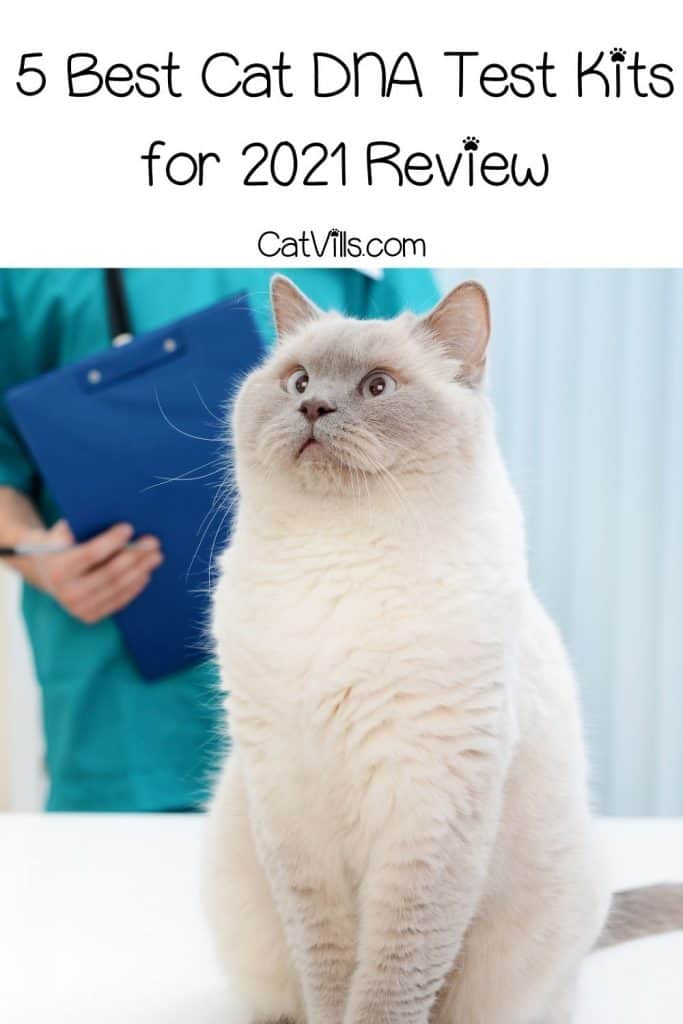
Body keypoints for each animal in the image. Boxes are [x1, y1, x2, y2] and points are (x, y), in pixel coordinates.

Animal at [205, 276, 679, 1019]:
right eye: (299, 380)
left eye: (376, 387)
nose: (312, 406)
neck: (338, 563)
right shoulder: (289, 803)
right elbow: (328, 971)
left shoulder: (427, 813)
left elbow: (391, 980)